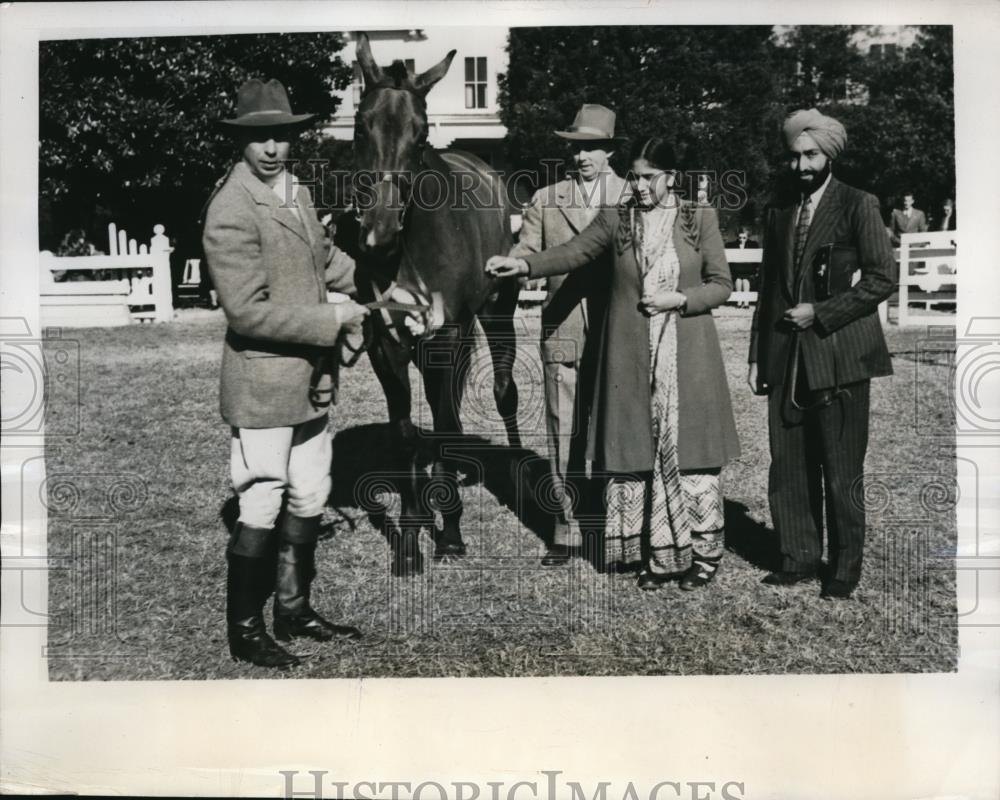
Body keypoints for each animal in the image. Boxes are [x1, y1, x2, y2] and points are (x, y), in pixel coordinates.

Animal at [338, 31, 520, 576]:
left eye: (420, 137)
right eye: (360, 126)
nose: (378, 232)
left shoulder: (448, 335)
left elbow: (443, 428)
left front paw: (451, 533)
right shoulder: (386, 343)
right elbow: (407, 434)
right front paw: (412, 535)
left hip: (495, 316)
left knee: (499, 394)